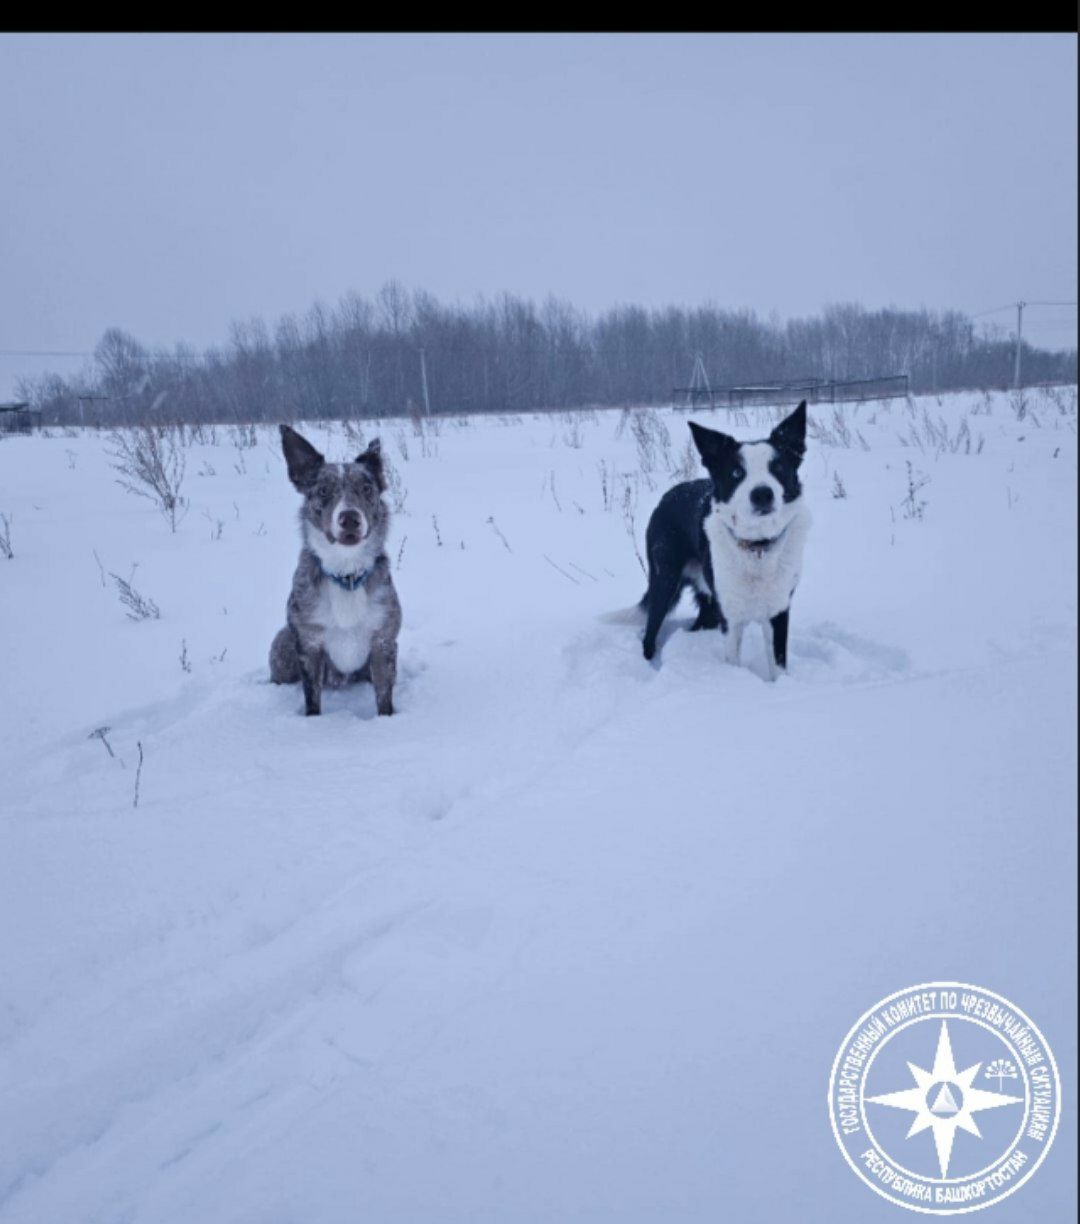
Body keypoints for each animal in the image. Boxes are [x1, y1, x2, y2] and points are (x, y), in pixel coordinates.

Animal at [268, 428, 399, 714]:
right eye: (324, 490)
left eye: (367, 488)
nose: (349, 518)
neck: (346, 574)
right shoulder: (309, 644)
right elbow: (312, 698)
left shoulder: (383, 641)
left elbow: (384, 697)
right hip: (283, 645)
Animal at [636, 399, 803, 680]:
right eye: (737, 472)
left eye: (778, 468)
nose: (762, 494)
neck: (757, 548)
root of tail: (667, 496)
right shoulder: (731, 616)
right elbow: (733, 660)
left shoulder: (778, 609)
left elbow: (778, 666)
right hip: (665, 581)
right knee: (649, 633)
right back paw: (650, 667)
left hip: (707, 596)